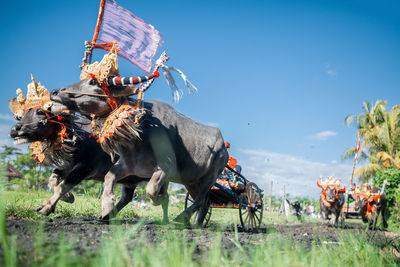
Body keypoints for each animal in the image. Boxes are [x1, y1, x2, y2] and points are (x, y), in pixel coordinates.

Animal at [9, 107, 150, 220]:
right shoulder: (68, 165)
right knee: (128, 196)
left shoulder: (85, 168)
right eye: (21, 116)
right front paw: (68, 197)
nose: (14, 129)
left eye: (40, 112)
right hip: (130, 179)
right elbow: (53, 180)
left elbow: (63, 186)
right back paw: (107, 215)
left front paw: (46, 207)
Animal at [49, 78, 228, 226]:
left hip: (210, 177)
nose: (55, 92)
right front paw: (106, 206)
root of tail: (224, 147)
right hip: (191, 181)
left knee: (200, 201)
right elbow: (108, 178)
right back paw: (196, 223)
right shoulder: (126, 166)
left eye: (93, 82)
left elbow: (152, 190)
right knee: (205, 202)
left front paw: (159, 199)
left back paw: (182, 218)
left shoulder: (166, 168)